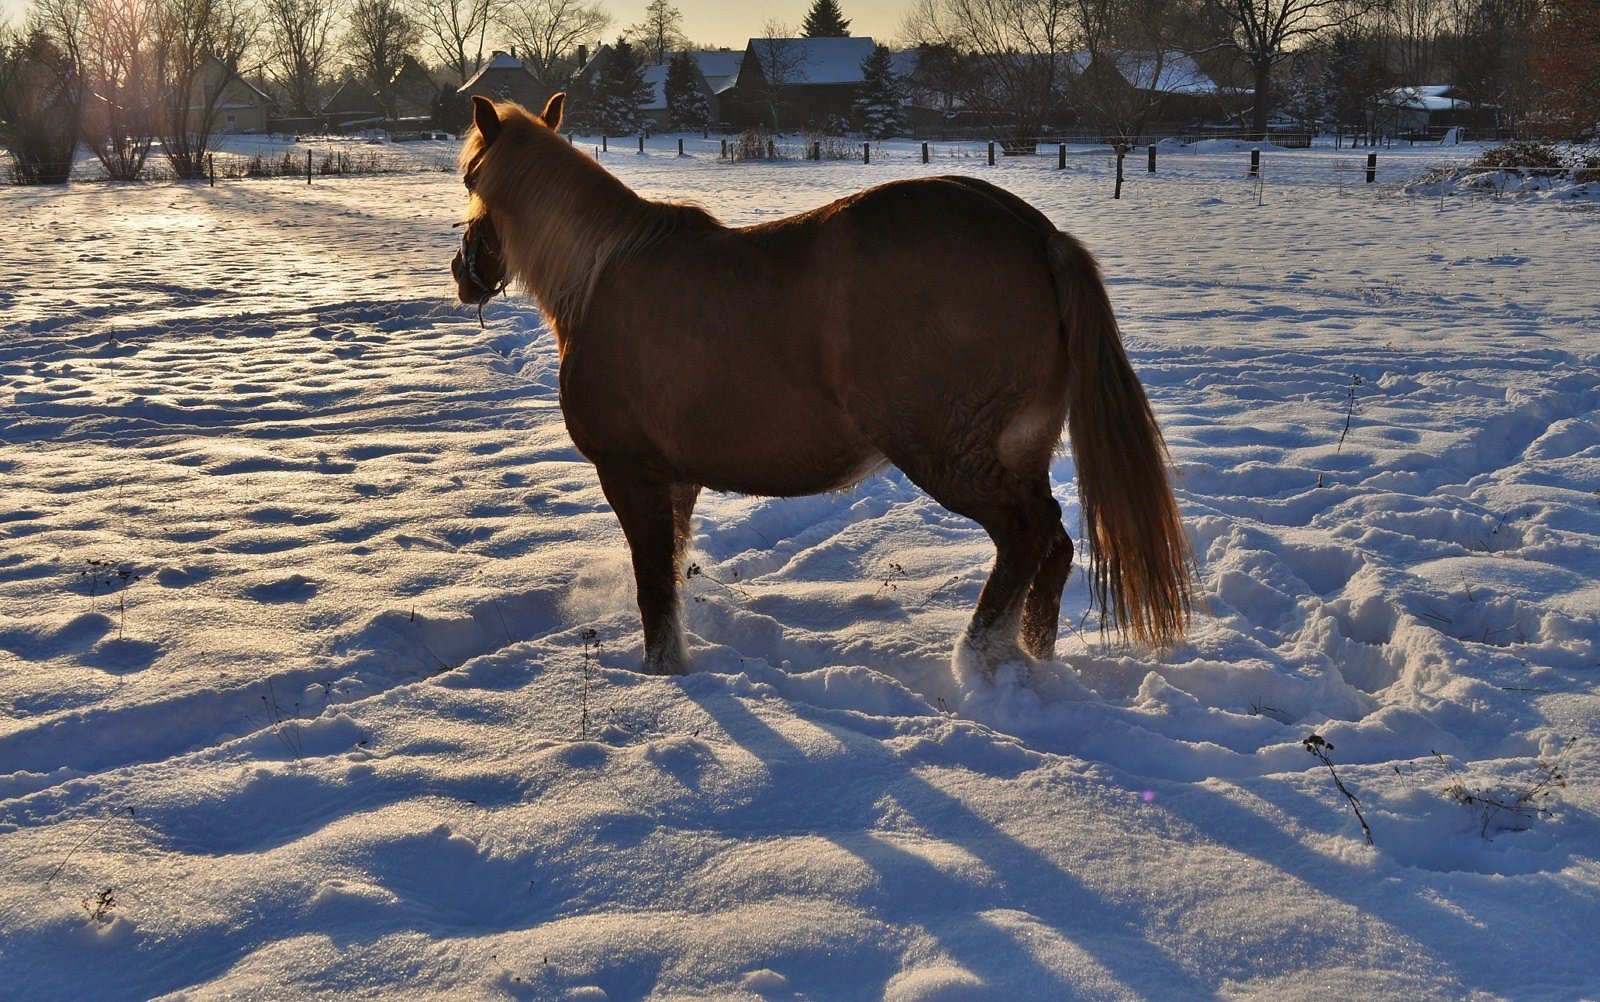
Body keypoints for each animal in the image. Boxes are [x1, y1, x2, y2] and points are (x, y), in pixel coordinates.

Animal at [452, 93, 1193, 678]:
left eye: (469, 180)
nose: (463, 273)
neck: (601, 276)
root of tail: (1036, 233)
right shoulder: (676, 479)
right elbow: (672, 571)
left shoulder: (628, 470)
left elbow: (654, 587)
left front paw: (664, 673)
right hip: (1020, 449)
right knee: (1054, 542)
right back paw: (1028, 658)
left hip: (950, 456)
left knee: (1023, 535)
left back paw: (978, 660)